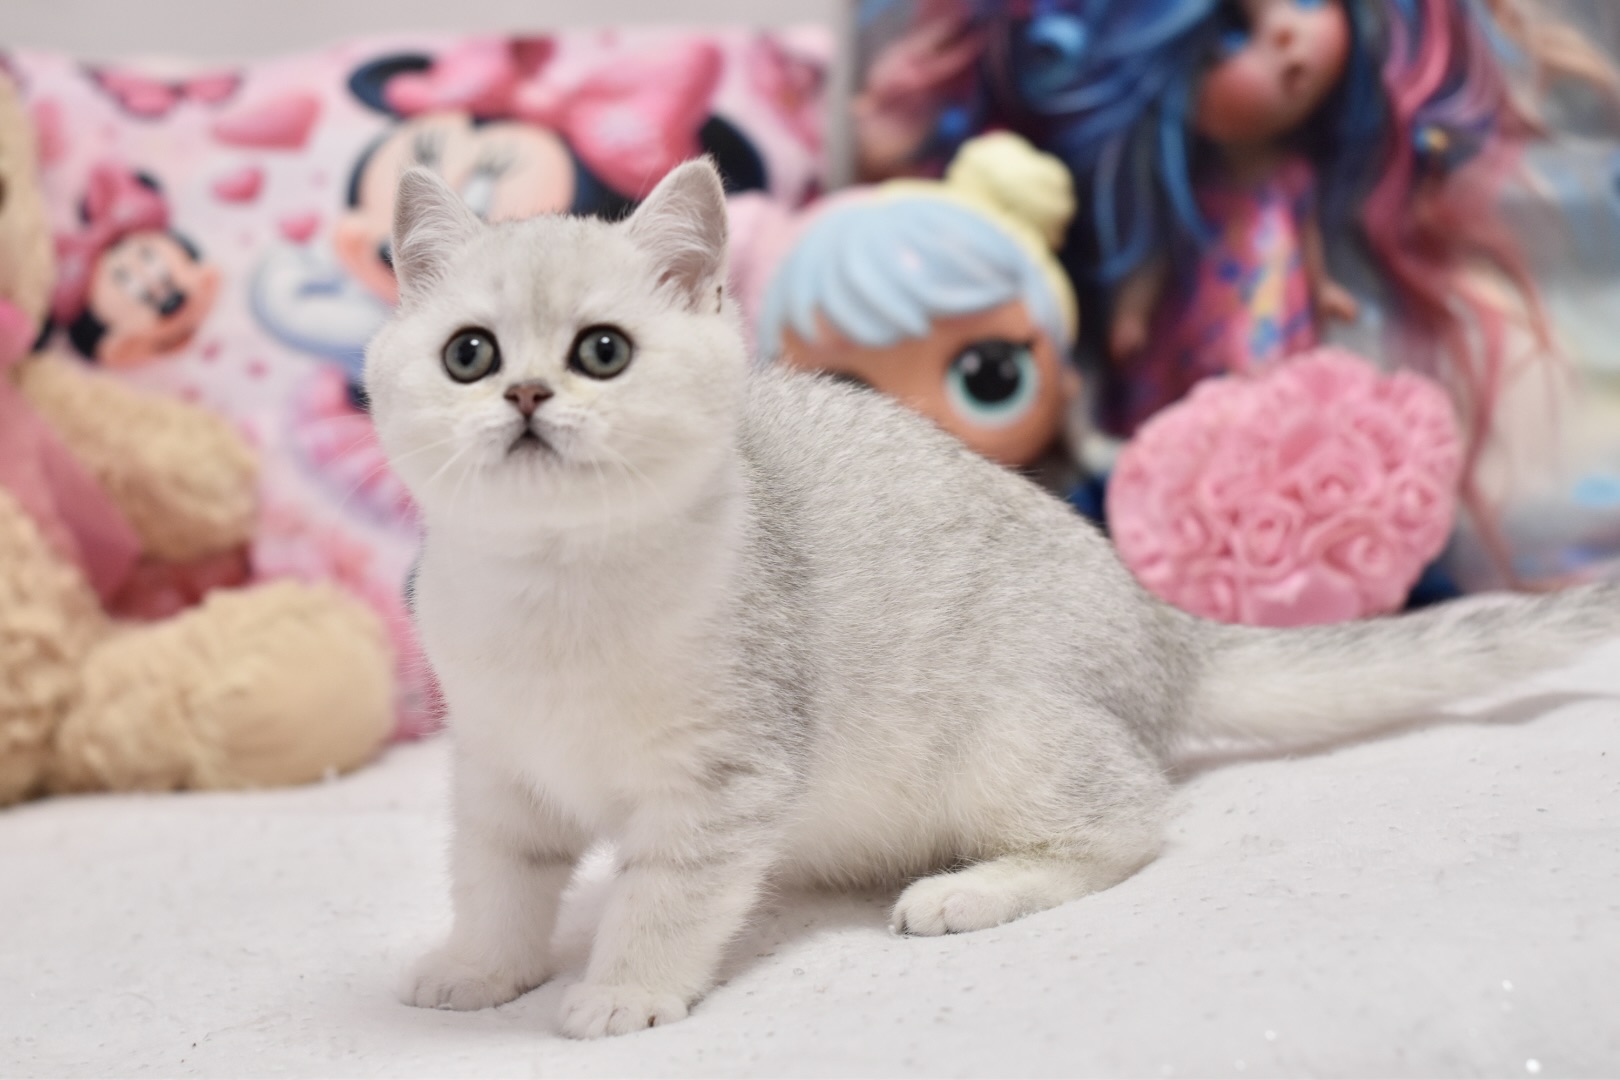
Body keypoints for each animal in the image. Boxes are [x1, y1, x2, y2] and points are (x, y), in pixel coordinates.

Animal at [364, 159, 1619, 1039]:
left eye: (603, 352)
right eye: (470, 355)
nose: (526, 395)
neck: (553, 590)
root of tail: (1156, 625)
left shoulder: (722, 780)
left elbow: (663, 898)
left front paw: (622, 990)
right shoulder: (497, 770)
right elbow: (495, 883)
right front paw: (481, 968)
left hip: (1007, 736)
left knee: (1135, 821)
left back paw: (966, 892)